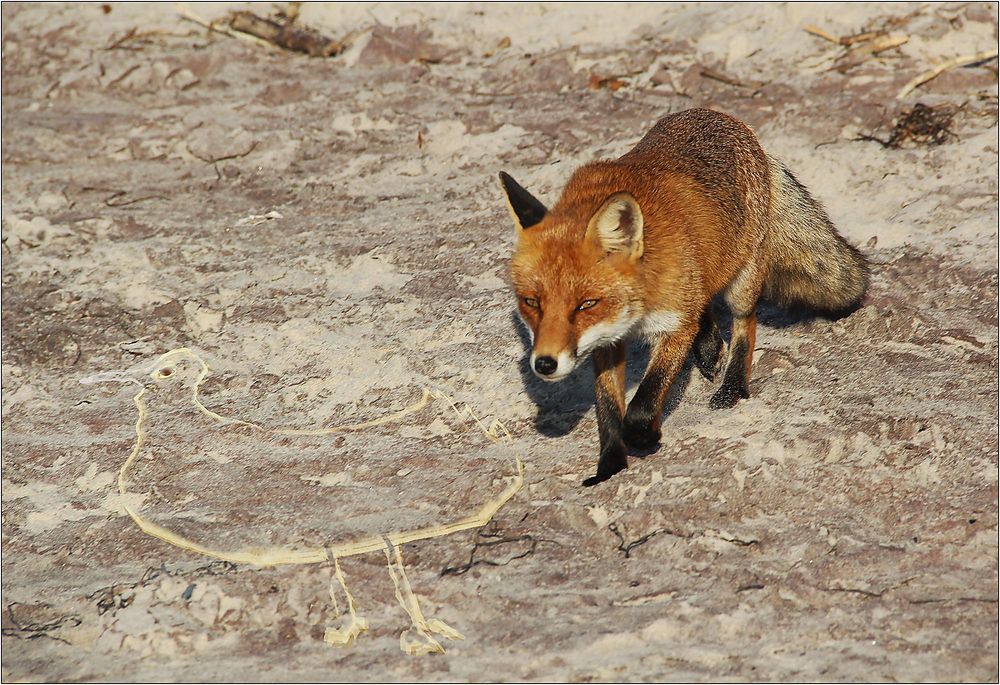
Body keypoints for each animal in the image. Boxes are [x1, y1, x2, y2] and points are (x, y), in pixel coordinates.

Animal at [498, 107, 868, 486]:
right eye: (531, 302)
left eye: (586, 304)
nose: (544, 363)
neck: (640, 302)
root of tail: (720, 116)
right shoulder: (607, 341)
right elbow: (607, 408)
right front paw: (610, 465)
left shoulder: (675, 325)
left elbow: (644, 399)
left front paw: (645, 436)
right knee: (706, 305)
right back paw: (708, 347)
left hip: (743, 280)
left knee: (744, 325)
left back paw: (732, 386)